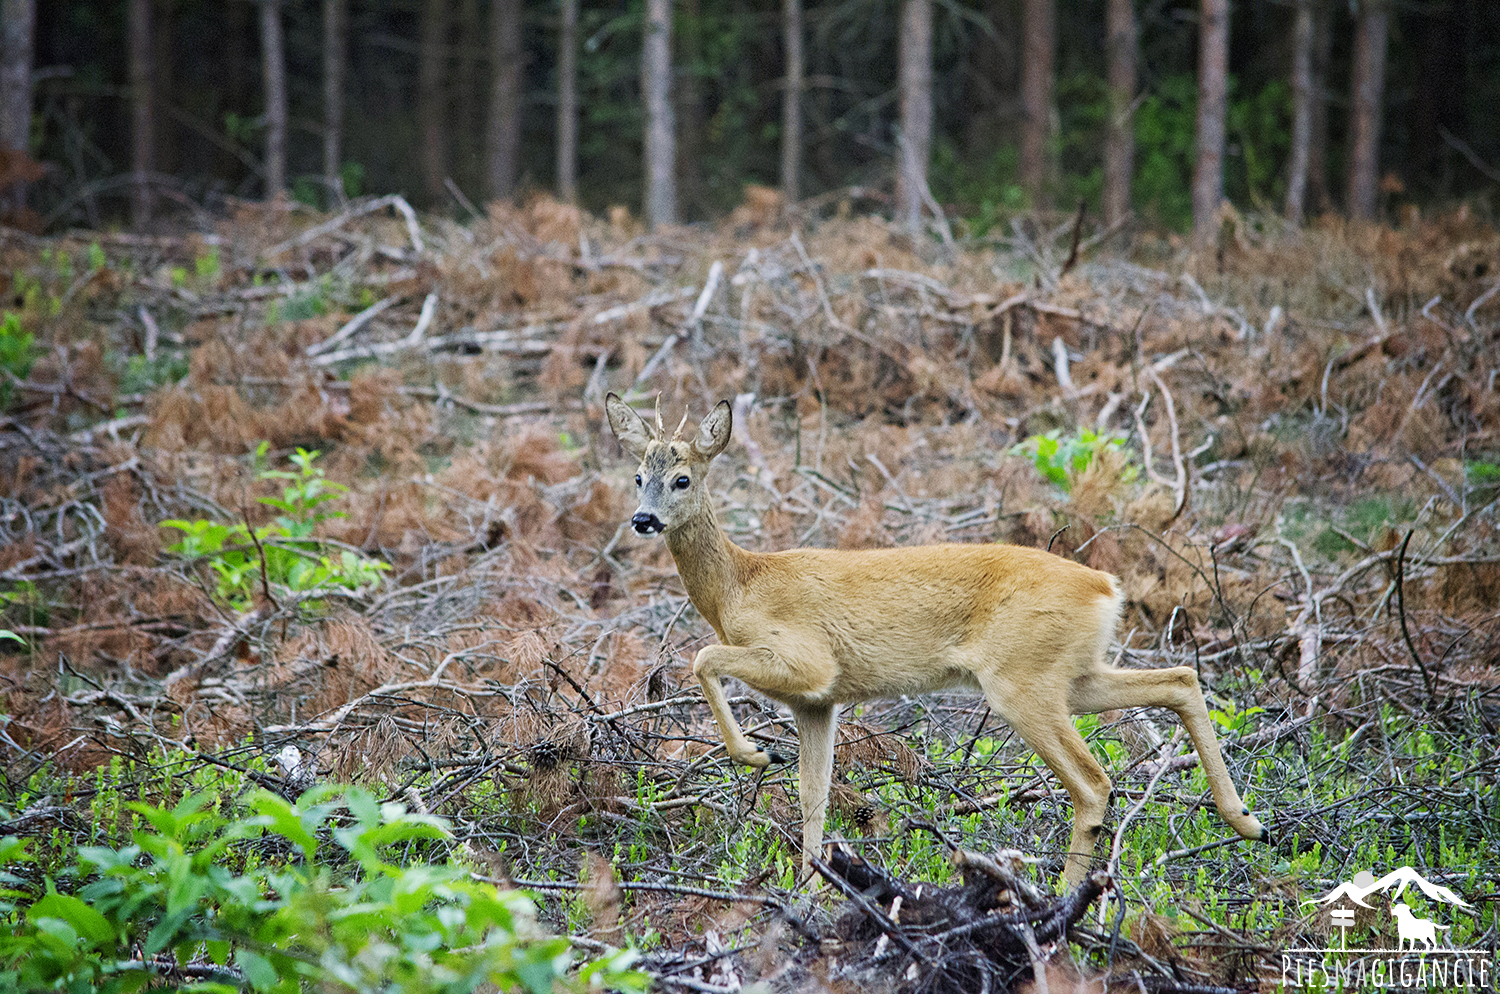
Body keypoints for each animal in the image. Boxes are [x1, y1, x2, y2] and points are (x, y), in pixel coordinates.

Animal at [603, 395, 1272, 887]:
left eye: (682, 478)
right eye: (636, 476)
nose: (642, 519)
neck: (739, 588)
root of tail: (1106, 586)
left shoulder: (808, 662)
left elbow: (702, 655)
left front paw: (751, 754)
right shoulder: (818, 703)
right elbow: (813, 796)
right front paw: (810, 890)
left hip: (1021, 683)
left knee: (1094, 782)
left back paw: (1061, 901)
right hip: (1071, 675)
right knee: (1179, 680)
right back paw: (1246, 821)